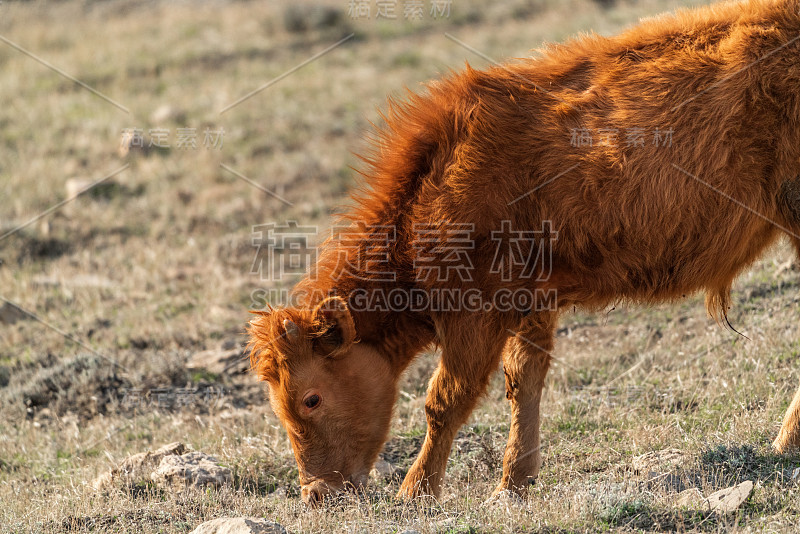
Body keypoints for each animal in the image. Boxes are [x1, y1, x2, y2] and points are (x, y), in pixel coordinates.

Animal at [248, 0, 800, 506]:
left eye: (311, 399)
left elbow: (445, 399)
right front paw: (514, 482)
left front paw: (416, 491)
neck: (434, 183)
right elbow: (523, 382)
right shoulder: (532, 300)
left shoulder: (476, 314)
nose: (316, 494)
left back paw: (784, 442)